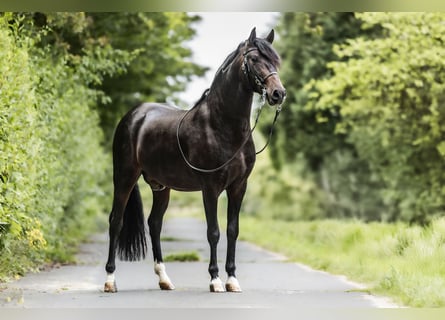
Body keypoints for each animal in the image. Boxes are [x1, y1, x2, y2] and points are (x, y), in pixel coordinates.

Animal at [103, 26, 284, 292]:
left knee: (154, 224)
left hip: (160, 186)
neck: (221, 125)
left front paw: (232, 279)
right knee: (115, 221)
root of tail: (134, 115)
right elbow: (213, 232)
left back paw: (164, 279)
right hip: (124, 177)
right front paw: (215, 280)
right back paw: (110, 280)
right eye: (253, 59)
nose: (278, 94)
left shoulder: (239, 186)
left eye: (275, 60)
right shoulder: (210, 187)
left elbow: (232, 230)